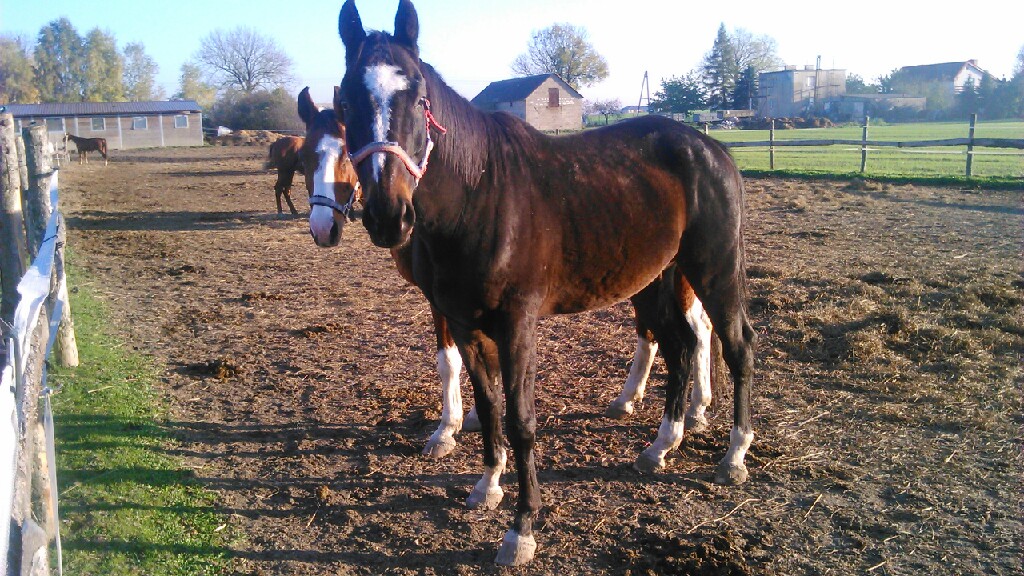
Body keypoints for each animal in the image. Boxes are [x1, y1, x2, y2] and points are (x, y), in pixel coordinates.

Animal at [296, 85, 729, 459]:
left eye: (347, 154)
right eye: (307, 158)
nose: (323, 228)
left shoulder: (443, 300)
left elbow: (448, 361)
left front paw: (447, 429)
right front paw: (474, 417)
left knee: (698, 331)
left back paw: (694, 410)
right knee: (657, 332)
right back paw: (633, 400)